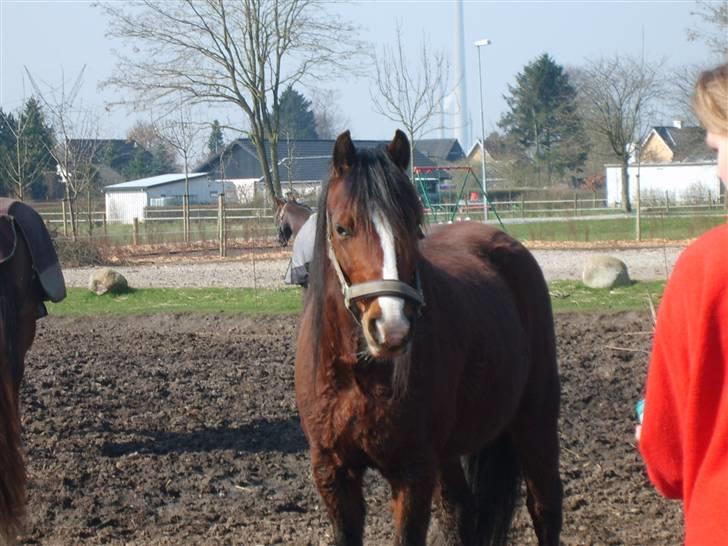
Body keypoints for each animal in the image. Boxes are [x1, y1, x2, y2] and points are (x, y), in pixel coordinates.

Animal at [292, 132, 560, 544]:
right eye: (342, 228)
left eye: (414, 225)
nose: (392, 326)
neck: (357, 375)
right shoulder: (333, 473)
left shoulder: (413, 471)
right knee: (461, 509)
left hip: (536, 418)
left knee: (545, 507)